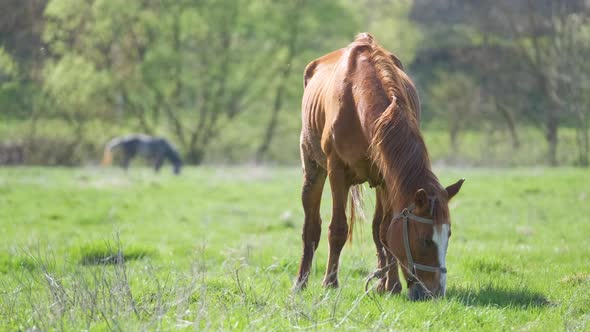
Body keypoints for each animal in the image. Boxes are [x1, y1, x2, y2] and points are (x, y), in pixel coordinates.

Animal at [294, 32, 464, 300]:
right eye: (425, 240)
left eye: (448, 235)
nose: (435, 292)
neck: (358, 100)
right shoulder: (337, 171)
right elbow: (338, 229)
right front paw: (330, 283)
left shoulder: (387, 177)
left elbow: (384, 231)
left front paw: (390, 284)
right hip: (313, 171)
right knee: (311, 227)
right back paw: (301, 282)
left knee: (376, 228)